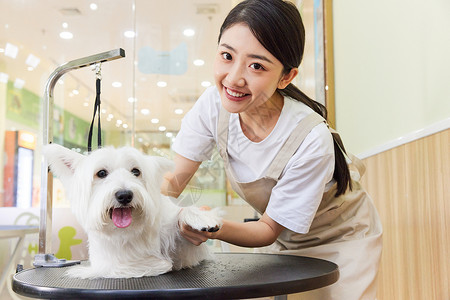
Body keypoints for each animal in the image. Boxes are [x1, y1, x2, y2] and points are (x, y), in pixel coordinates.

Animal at [43, 144, 222, 278]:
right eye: (101, 173)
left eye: (136, 171)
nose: (124, 195)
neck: (131, 230)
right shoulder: (105, 263)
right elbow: (121, 266)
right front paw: (158, 264)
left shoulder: (185, 248)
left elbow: (181, 215)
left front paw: (201, 217)